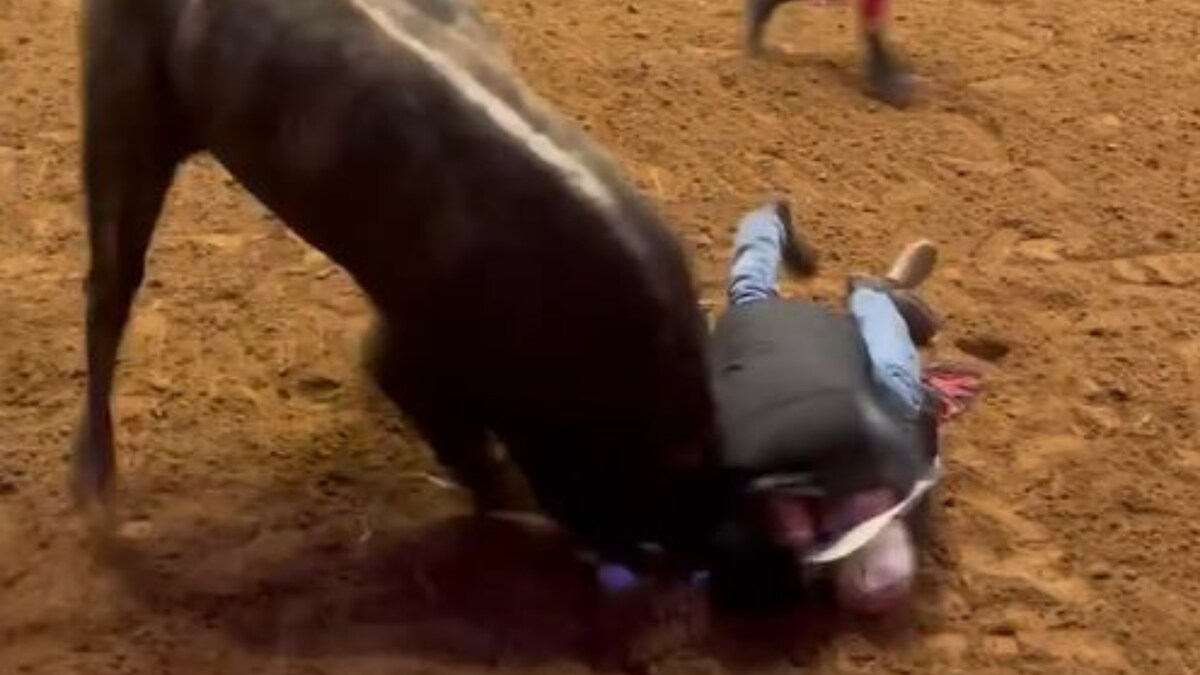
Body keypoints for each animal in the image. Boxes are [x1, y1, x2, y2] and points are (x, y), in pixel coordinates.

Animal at [77, 0, 720, 562]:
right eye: (647, 477)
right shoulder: (413, 348)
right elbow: (461, 440)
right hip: (121, 120)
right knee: (109, 288)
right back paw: (97, 500)